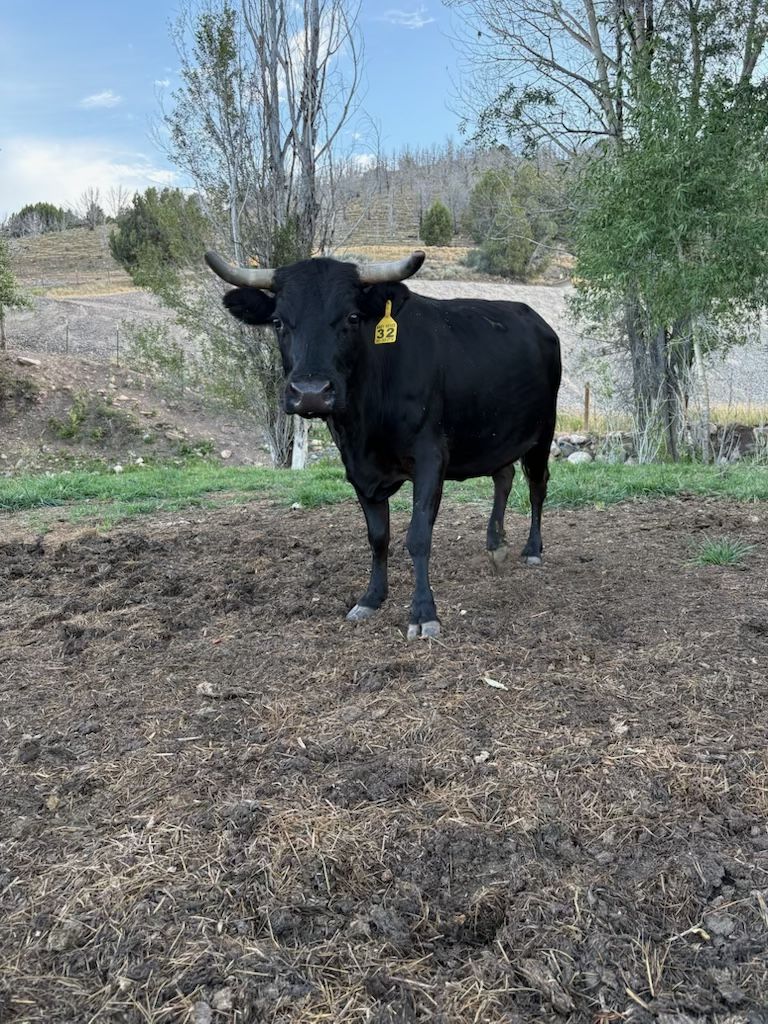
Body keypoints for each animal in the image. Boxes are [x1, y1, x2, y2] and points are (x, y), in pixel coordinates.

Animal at [205, 249, 561, 638]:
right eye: (278, 321)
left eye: (352, 317)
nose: (311, 393)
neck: (365, 425)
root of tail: (536, 319)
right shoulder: (356, 468)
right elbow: (378, 536)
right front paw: (372, 598)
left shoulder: (431, 456)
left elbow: (418, 535)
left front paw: (423, 613)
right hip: (496, 435)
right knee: (503, 477)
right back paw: (496, 544)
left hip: (543, 432)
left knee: (537, 486)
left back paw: (532, 548)